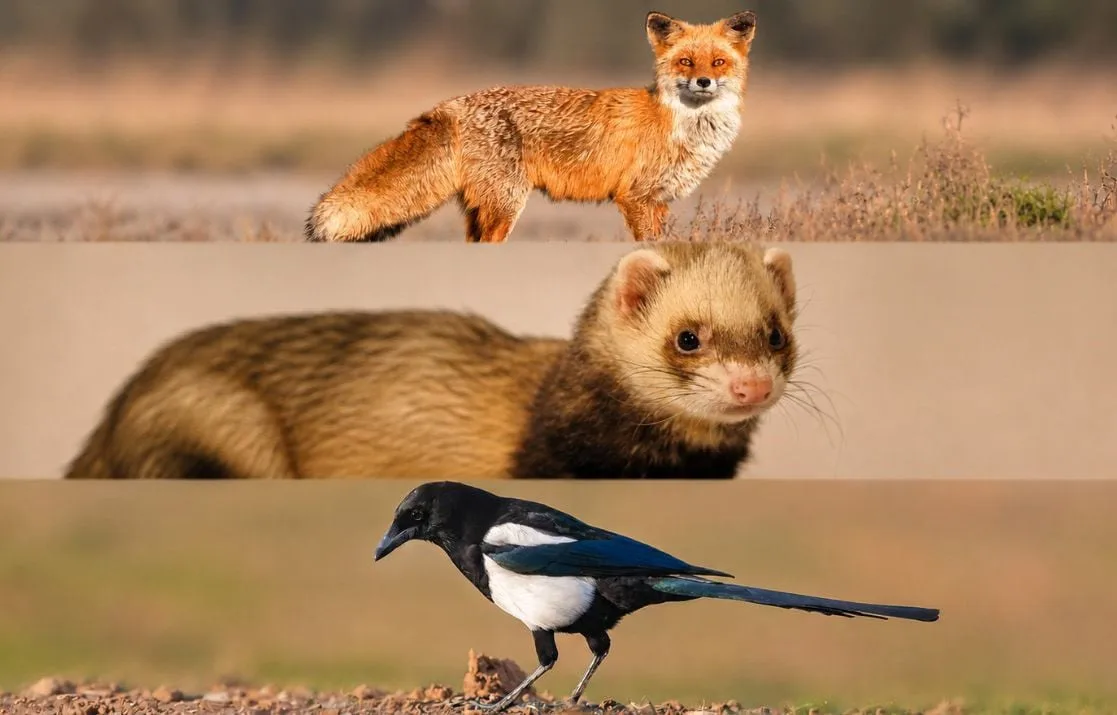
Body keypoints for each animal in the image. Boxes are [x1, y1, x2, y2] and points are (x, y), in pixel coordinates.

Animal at [305, 10, 758, 243]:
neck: (680, 126)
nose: (704, 82)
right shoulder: (636, 199)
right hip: (507, 204)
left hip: (484, 209)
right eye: (686, 62)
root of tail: (451, 104)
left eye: (718, 62)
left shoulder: (659, 202)